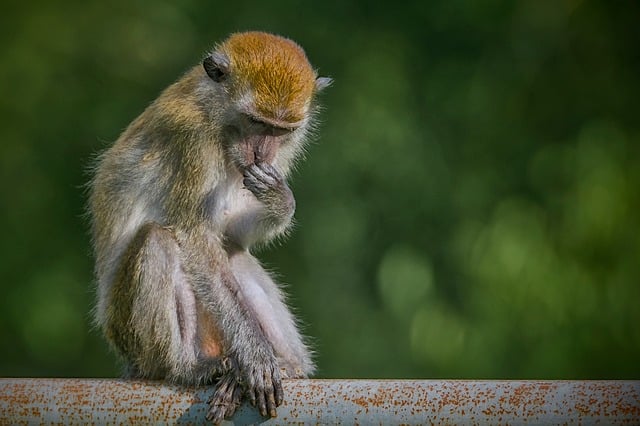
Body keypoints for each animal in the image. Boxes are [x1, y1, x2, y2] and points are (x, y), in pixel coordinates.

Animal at [89, 31, 331, 423]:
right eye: (256, 122)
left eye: (281, 131)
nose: (261, 154)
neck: (215, 114)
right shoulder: (191, 138)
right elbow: (195, 237)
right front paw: (254, 355)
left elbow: (230, 233)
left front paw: (280, 200)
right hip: (130, 336)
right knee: (158, 240)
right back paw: (187, 368)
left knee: (233, 254)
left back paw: (288, 365)